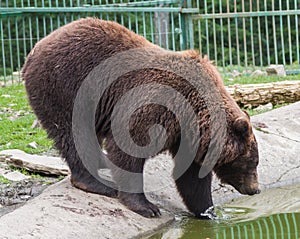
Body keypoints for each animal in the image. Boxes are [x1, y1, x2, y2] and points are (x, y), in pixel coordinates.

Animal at [22, 16, 258, 218]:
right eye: (252, 162)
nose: (255, 189)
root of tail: (35, 49)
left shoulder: (189, 136)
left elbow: (192, 177)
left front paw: (207, 212)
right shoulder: (156, 106)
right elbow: (128, 150)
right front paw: (147, 207)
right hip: (67, 88)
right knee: (74, 135)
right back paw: (96, 183)